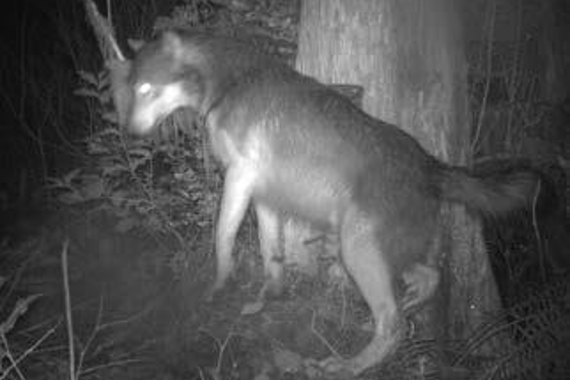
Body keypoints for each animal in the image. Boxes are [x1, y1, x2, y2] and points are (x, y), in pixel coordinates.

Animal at [112, 30, 536, 374]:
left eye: (146, 89)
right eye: (132, 89)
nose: (127, 133)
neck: (230, 83)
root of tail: (431, 165)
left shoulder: (239, 176)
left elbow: (223, 238)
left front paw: (216, 288)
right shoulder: (265, 194)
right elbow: (271, 254)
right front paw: (266, 300)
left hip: (356, 249)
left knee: (393, 324)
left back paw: (349, 366)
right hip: (375, 251)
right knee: (428, 279)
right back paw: (405, 309)